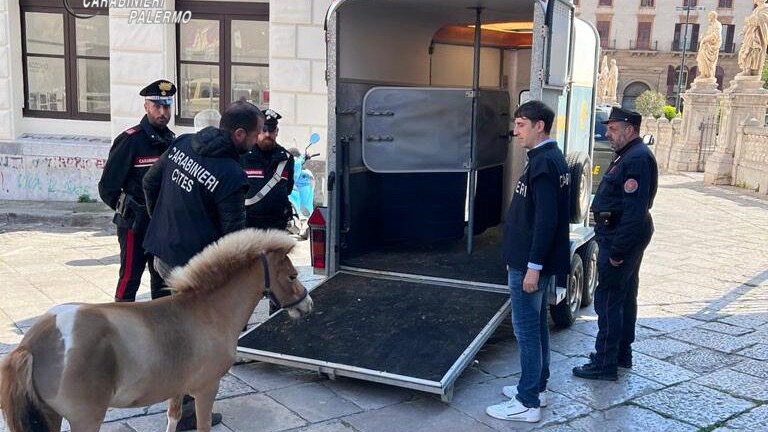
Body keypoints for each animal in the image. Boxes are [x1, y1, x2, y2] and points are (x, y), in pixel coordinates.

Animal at [0, 228, 313, 432]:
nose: (308, 305)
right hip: (85, 419)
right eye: (292, 275)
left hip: (50, 417)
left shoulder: (177, 388)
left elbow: (173, 418)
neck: (208, 311)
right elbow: (203, 426)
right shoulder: (206, 388)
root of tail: (30, 345)